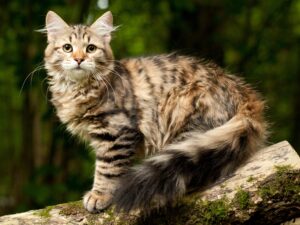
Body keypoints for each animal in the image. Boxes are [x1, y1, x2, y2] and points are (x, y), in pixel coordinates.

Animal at [42, 10, 268, 214]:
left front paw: (100, 196)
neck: (78, 89)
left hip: (185, 118)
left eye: (91, 48)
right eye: (67, 48)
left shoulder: (117, 133)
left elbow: (108, 169)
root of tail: (244, 92)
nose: (79, 59)